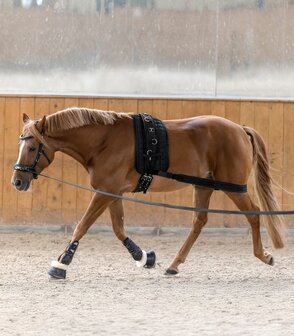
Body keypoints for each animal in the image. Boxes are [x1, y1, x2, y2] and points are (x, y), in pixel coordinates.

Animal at [10, 108, 284, 278]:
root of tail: (239, 128)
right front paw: (144, 257)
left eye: (32, 147)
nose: (17, 181)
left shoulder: (105, 192)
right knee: (199, 222)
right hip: (203, 186)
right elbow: (119, 228)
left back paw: (263, 255)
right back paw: (174, 265)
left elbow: (83, 225)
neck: (104, 141)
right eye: (20, 144)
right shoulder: (112, 192)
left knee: (254, 214)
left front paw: (61, 263)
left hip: (233, 188)